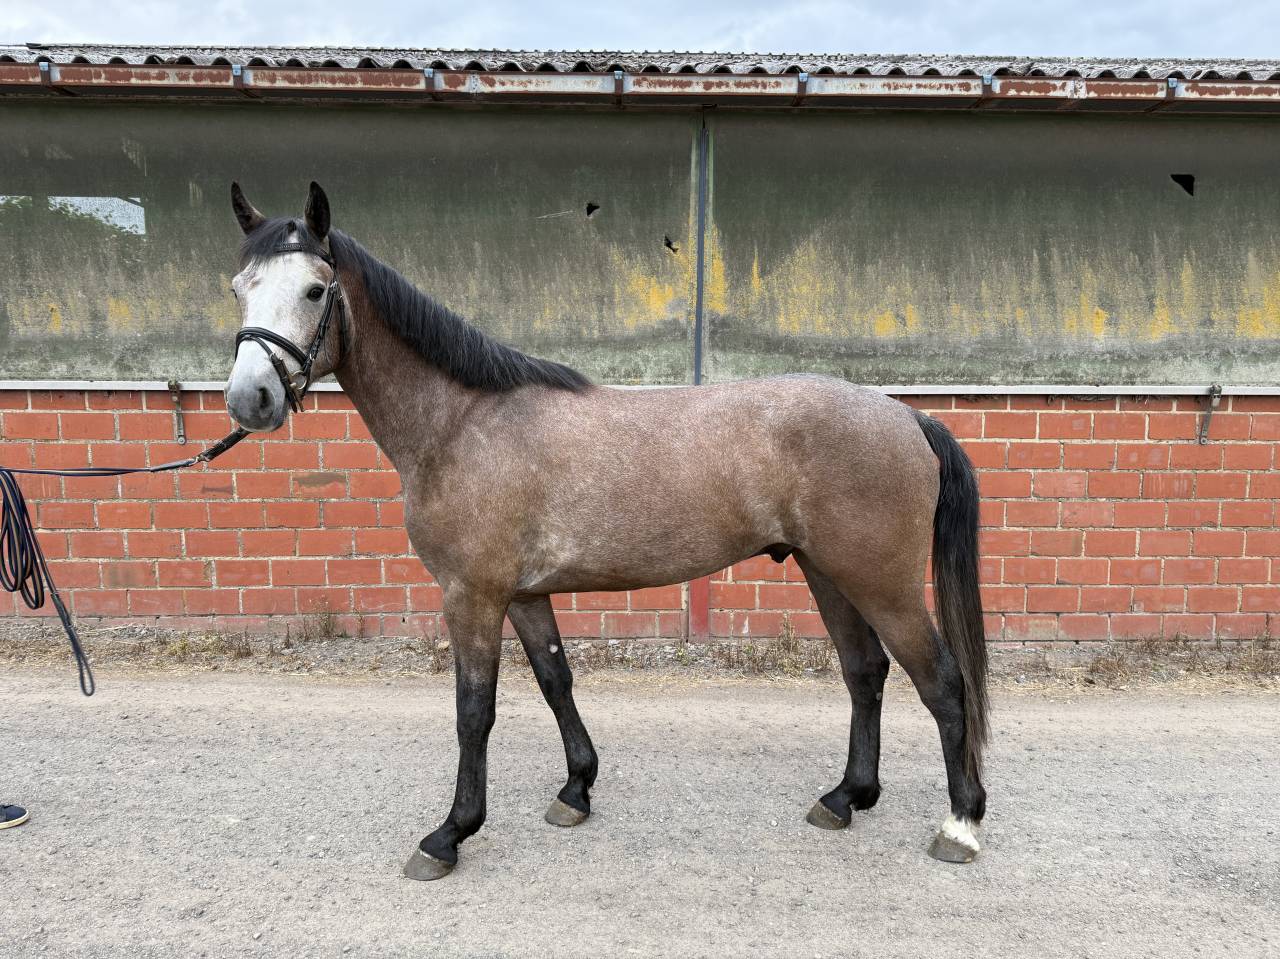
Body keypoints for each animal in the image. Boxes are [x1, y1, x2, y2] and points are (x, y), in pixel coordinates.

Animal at [222, 182, 990, 881]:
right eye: (238, 288)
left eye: (315, 290)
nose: (249, 399)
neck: (462, 423)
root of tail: (907, 415)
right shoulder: (523, 593)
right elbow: (555, 679)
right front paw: (576, 788)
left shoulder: (471, 594)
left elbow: (475, 710)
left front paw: (450, 833)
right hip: (826, 570)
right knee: (865, 673)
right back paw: (846, 797)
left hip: (880, 581)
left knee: (943, 682)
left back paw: (961, 823)